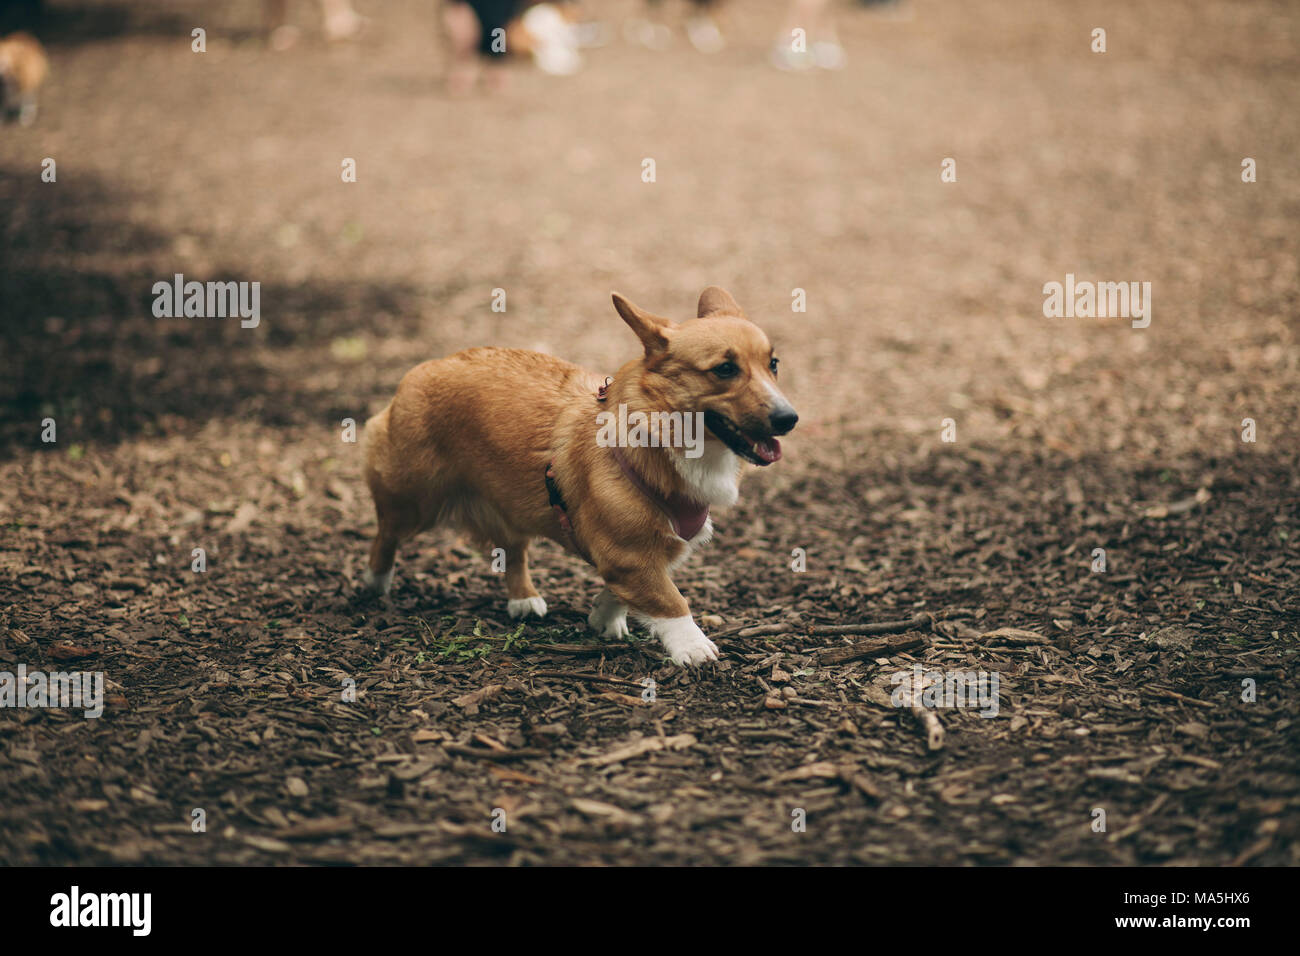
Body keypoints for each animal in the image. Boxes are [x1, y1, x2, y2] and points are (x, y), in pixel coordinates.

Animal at [361, 287, 795, 671]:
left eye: (774, 364)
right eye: (724, 369)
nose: (789, 419)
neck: (660, 434)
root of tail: (430, 364)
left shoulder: (638, 555)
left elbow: (625, 591)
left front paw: (603, 617)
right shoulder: (629, 554)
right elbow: (671, 601)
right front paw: (692, 646)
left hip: (507, 501)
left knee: (513, 550)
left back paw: (523, 598)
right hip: (412, 500)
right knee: (386, 534)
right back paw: (374, 585)